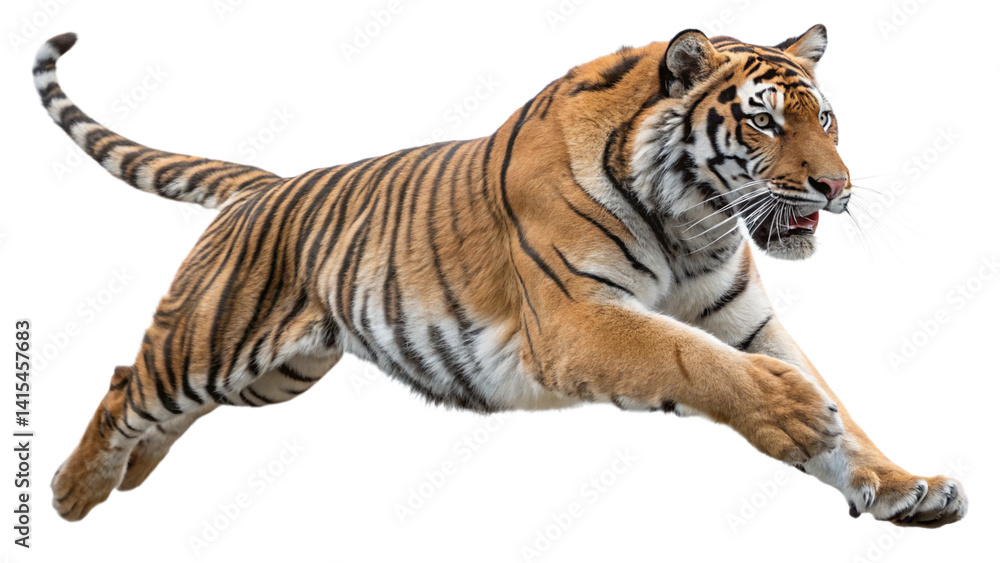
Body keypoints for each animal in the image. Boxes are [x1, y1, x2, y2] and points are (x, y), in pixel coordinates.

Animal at [36, 25, 967, 526]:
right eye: (764, 122)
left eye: (827, 119)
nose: (837, 188)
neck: (692, 221)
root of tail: (268, 185)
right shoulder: (577, 318)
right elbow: (689, 357)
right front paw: (794, 413)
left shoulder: (748, 320)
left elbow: (838, 405)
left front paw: (902, 485)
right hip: (210, 343)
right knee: (125, 384)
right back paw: (75, 492)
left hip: (281, 372)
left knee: (165, 412)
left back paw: (130, 479)